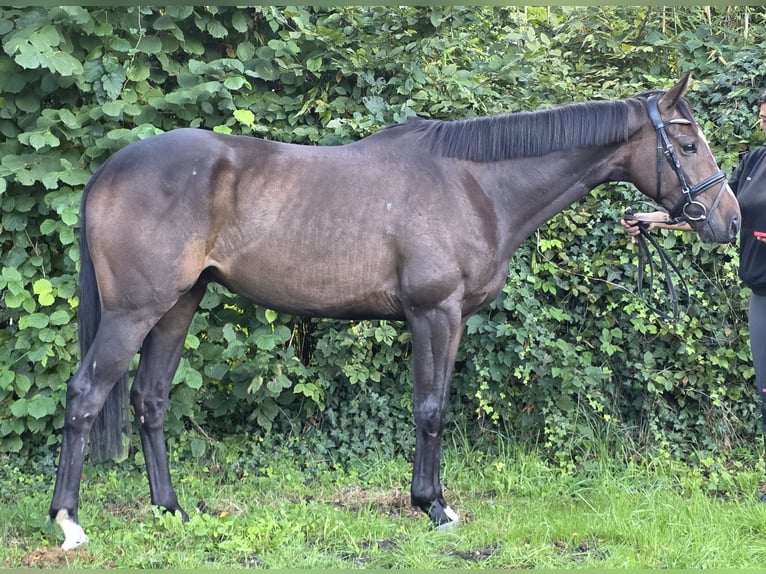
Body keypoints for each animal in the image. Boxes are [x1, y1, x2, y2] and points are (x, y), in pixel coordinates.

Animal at [49, 73, 739, 549]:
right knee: (84, 395)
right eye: (686, 143)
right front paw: (434, 506)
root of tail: (108, 171)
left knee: (149, 400)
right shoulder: (435, 314)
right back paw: (69, 523)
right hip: (134, 312)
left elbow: (435, 407)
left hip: (177, 306)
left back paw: (171, 510)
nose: (729, 221)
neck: (474, 184)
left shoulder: (447, 319)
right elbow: (431, 410)